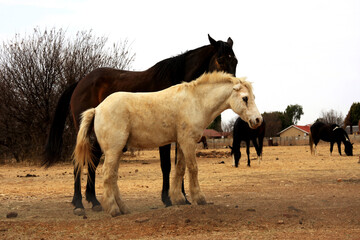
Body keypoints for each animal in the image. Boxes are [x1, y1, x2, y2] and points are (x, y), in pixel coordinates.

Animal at [43, 34, 239, 216]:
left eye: (235, 60)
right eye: (221, 59)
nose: (235, 85)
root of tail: (80, 82)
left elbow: (179, 165)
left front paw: (182, 197)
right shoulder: (166, 139)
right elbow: (166, 166)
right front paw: (168, 199)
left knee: (93, 162)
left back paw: (95, 201)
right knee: (79, 162)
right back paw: (79, 204)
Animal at [73, 70, 262, 217]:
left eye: (253, 97)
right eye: (245, 98)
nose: (258, 120)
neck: (196, 101)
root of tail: (97, 109)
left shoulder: (181, 142)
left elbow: (180, 169)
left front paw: (178, 199)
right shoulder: (188, 142)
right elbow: (193, 168)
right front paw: (199, 198)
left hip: (117, 151)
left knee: (112, 177)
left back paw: (124, 209)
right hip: (113, 150)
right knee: (107, 176)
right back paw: (113, 210)